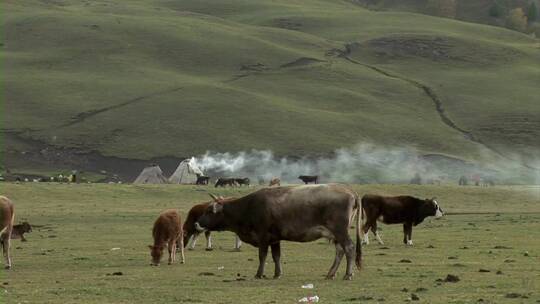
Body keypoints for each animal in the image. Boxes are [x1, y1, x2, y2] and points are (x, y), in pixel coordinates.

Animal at [195, 183, 362, 280]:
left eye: (209, 210)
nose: (197, 223)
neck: (248, 207)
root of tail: (350, 191)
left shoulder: (263, 236)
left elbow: (262, 256)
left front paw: (259, 274)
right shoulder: (275, 239)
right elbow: (276, 256)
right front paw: (277, 273)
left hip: (340, 231)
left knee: (349, 247)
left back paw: (348, 274)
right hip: (336, 234)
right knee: (340, 251)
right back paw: (331, 274)